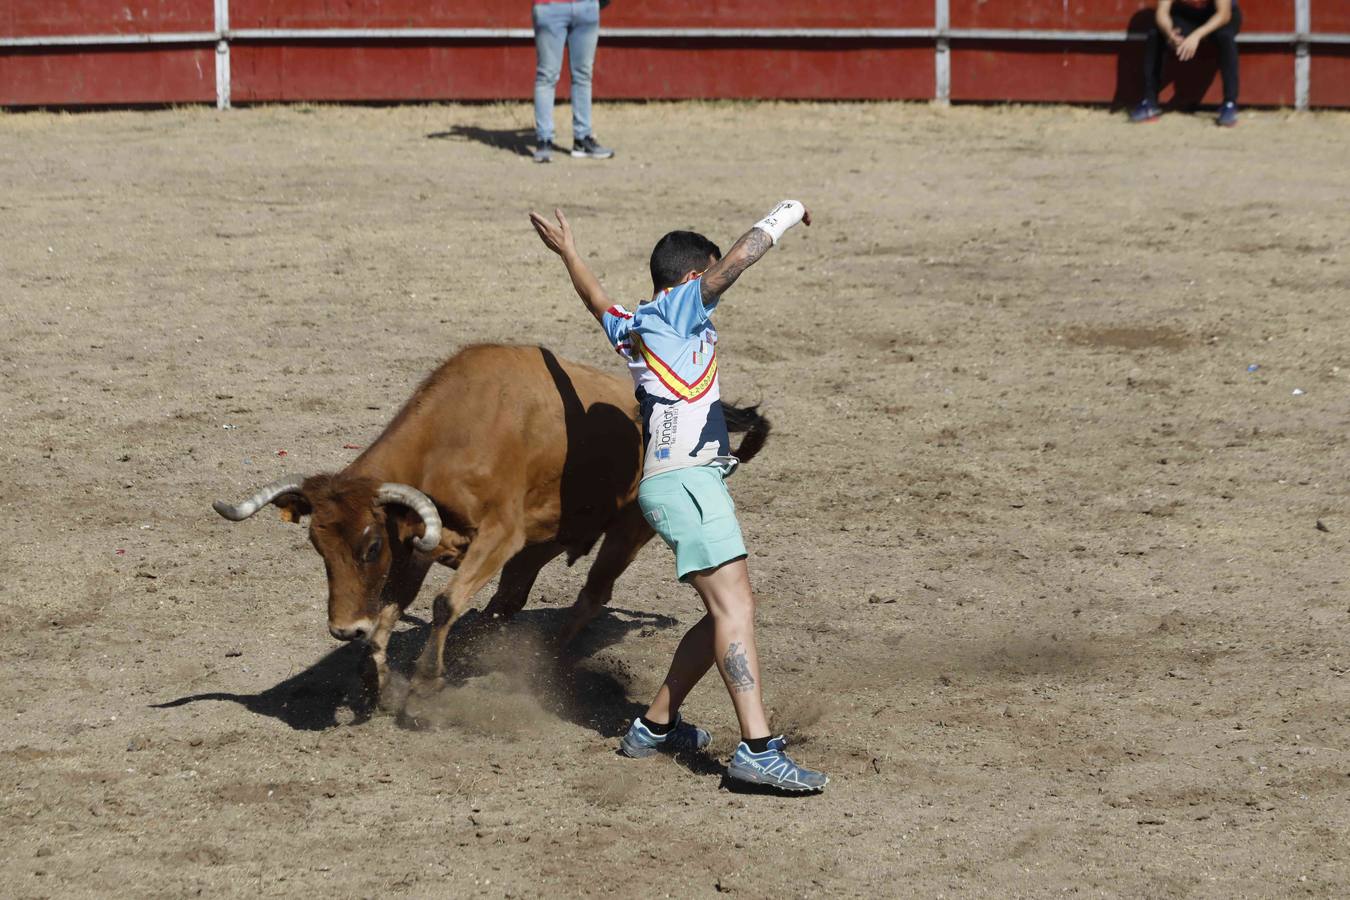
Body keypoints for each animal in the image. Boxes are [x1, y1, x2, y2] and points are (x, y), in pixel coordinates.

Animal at [207, 341, 761, 701]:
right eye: (318, 547)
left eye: (369, 547)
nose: (345, 630)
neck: (454, 434)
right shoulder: (419, 539)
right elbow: (393, 604)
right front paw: (374, 674)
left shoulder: (499, 536)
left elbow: (443, 602)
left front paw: (427, 677)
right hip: (540, 546)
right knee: (507, 602)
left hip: (629, 530)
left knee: (591, 596)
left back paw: (545, 659)